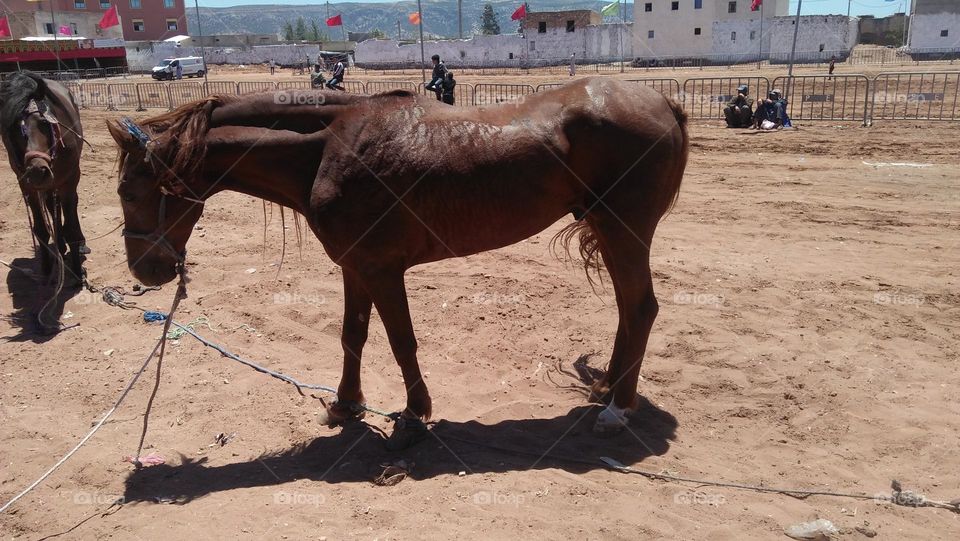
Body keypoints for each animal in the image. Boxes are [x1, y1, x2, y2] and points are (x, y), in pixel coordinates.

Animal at [0, 71, 87, 282]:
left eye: (44, 123)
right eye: (13, 128)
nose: (37, 171)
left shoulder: (69, 179)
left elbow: (72, 222)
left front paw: (77, 272)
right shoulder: (27, 186)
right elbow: (40, 228)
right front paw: (47, 269)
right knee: (51, 204)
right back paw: (60, 245)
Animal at [109, 78, 688, 446]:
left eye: (129, 191)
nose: (145, 272)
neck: (328, 147)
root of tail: (663, 102)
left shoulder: (383, 270)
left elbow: (400, 340)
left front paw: (413, 415)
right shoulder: (354, 267)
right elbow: (353, 336)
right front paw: (346, 404)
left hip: (624, 230)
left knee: (641, 308)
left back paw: (617, 410)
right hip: (610, 233)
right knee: (627, 308)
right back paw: (608, 388)